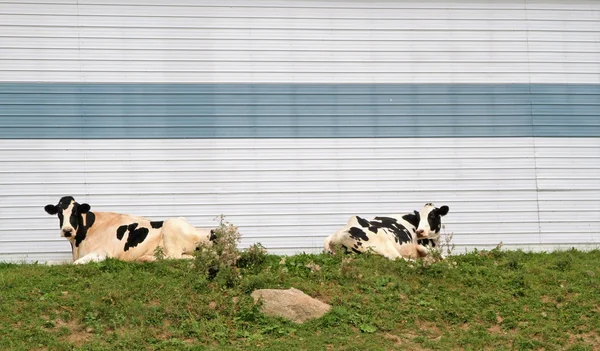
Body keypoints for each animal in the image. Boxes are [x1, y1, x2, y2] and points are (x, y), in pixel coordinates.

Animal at [45, 197, 218, 266]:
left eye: (75, 212)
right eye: (59, 213)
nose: (67, 230)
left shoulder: (102, 253)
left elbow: (75, 264)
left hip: (171, 226)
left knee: (173, 258)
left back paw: (146, 258)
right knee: (189, 258)